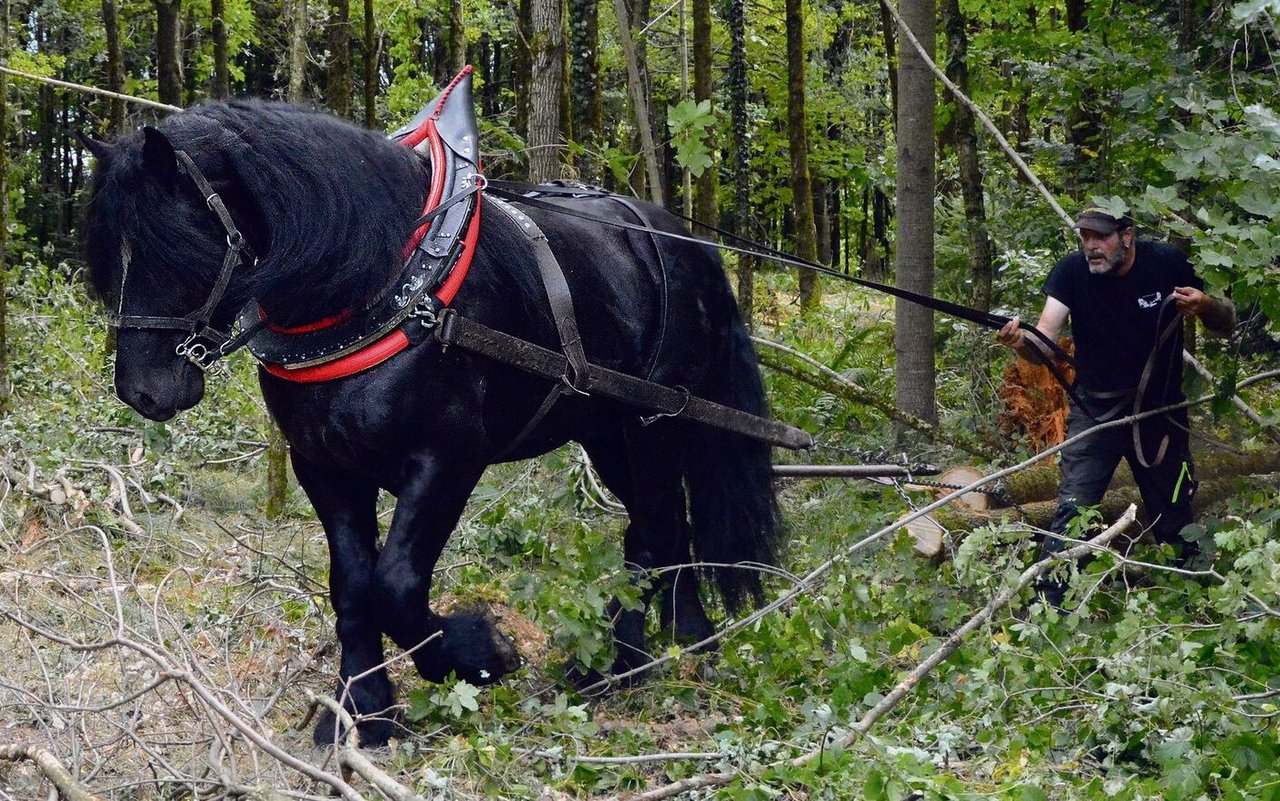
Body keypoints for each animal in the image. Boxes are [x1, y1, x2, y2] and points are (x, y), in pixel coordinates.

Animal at [82, 98, 778, 742]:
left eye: (174, 245)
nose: (142, 391)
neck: (378, 289)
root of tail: (682, 244)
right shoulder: (324, 467)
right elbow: (352, 587)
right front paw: (363, 713)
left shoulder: (446, 460)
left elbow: (395, 585)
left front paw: (480, 655)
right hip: (605, 434)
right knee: (667, 533)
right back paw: (690, 648)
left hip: (653, 423)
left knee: (657, 534)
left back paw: (614, 663)